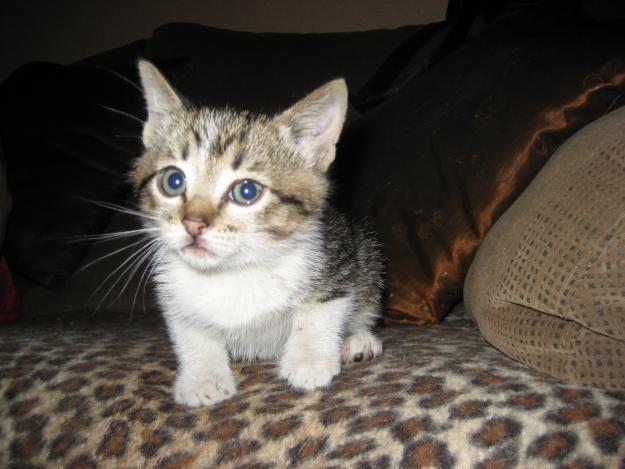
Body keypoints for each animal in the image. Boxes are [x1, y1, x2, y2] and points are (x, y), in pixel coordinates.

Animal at [134, 60, 382, 406]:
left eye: (247, 191)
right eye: (173, 181)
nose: (193, 224)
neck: (235, 271)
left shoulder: (339, 254)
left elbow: (322, 306)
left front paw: (309, 360)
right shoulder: (172, 288)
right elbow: (188, 328)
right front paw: (203, 376)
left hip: (368, 258)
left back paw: (357, 341)